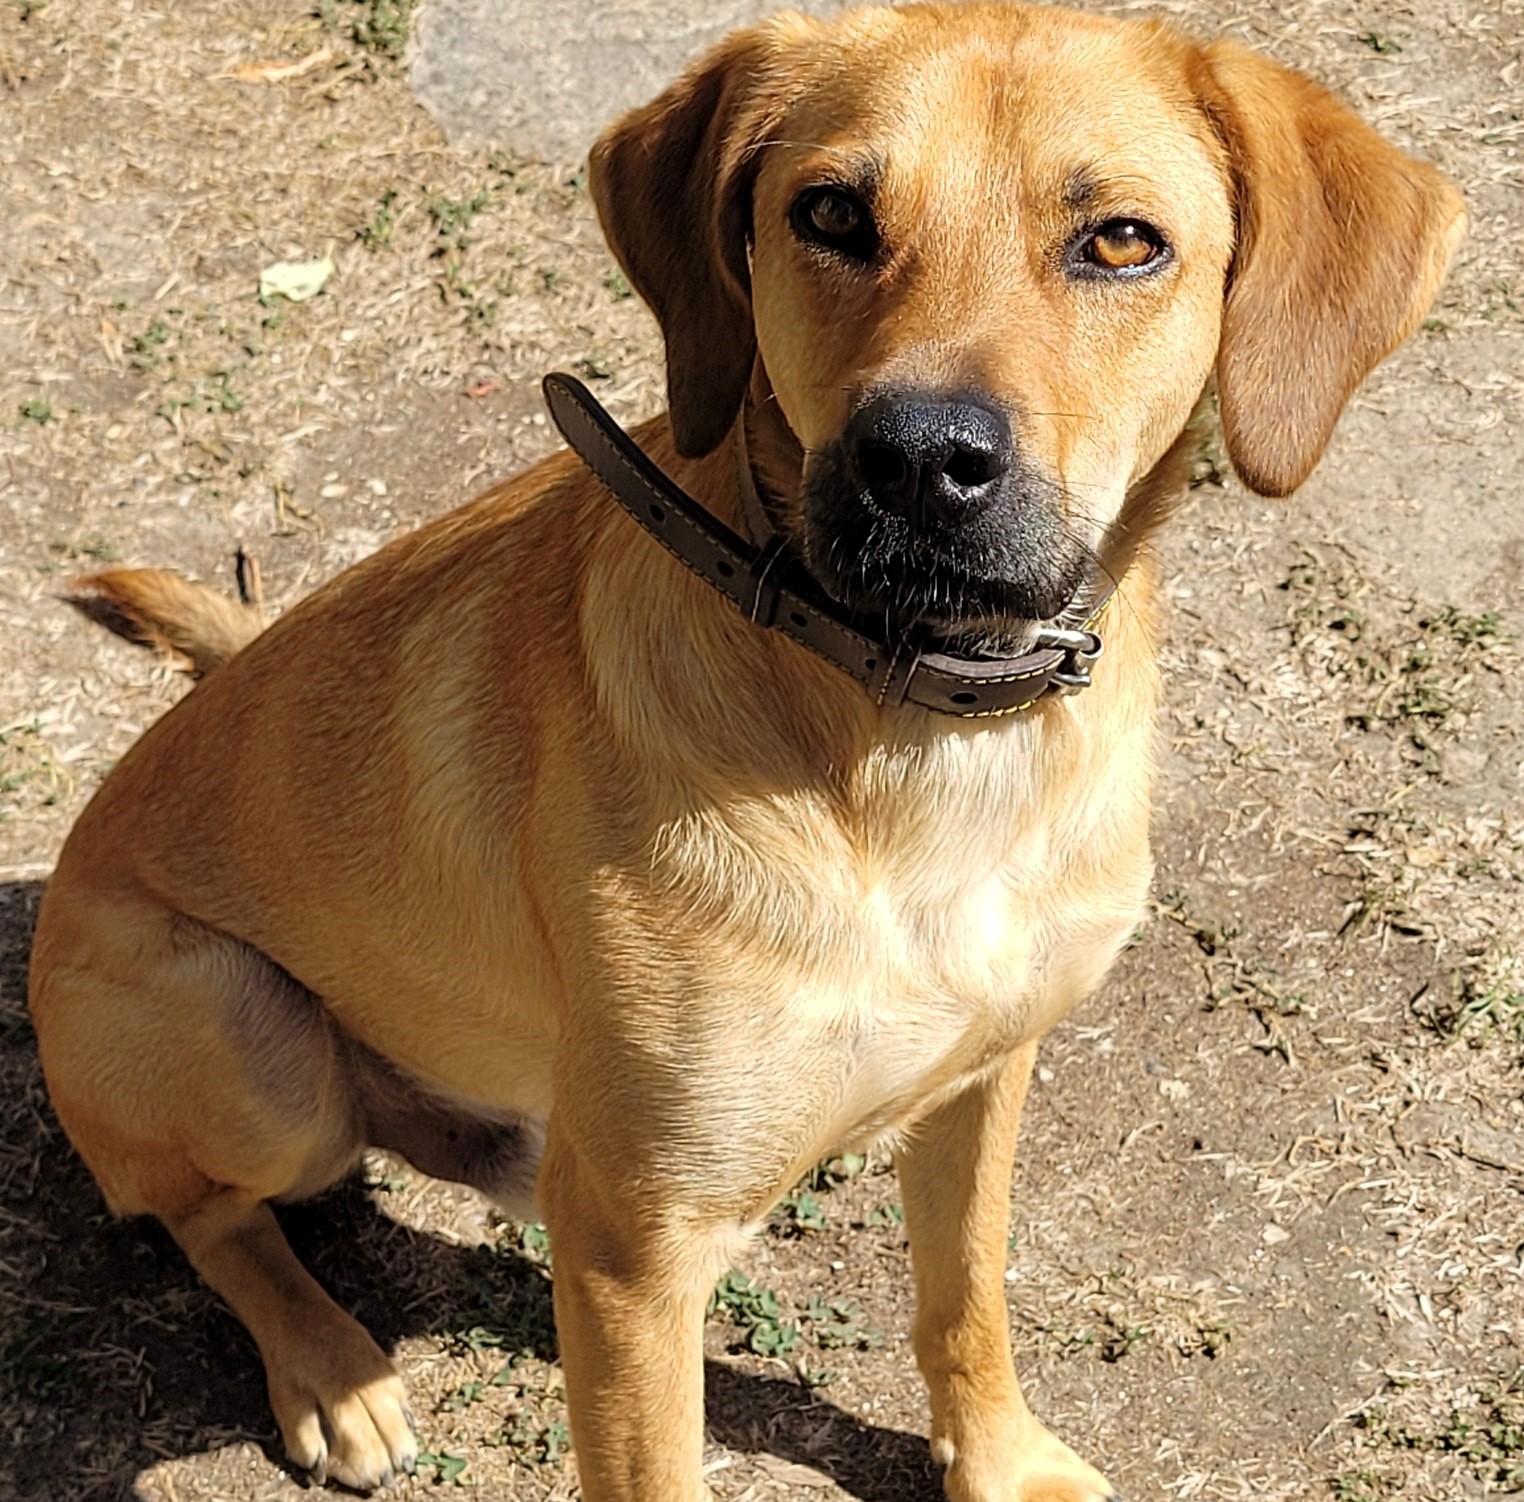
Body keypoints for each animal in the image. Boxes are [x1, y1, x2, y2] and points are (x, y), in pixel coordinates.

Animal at [26, 5, 1450, 1492]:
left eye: (1120, 240)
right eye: (828, 212)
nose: (917, 459)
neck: (919, 741)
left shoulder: (983, 1076)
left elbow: (965, 1292)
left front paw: (998, 1454)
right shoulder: (632, 1257)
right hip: (261, 1055)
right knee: (206, 1214)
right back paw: (328, 1364)